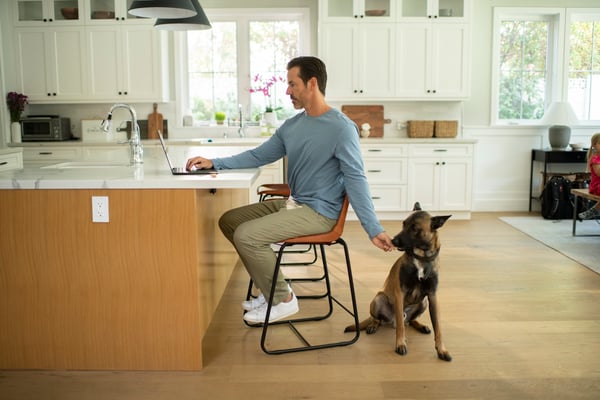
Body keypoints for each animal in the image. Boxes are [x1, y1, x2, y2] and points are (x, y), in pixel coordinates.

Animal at [344, 203, 452, 362]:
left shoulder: (432, 297)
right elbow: (401, 326)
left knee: (410, 321)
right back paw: (373, 325)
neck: (421, 258)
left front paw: (442, 350)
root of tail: (391, 322)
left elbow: (438, 328)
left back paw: (420, 325)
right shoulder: (400, 294)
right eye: (403, 224)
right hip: (379, 298)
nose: (393, 241)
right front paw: (401, 344)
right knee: (381, 319)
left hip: (424, 302)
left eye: (415, 228)